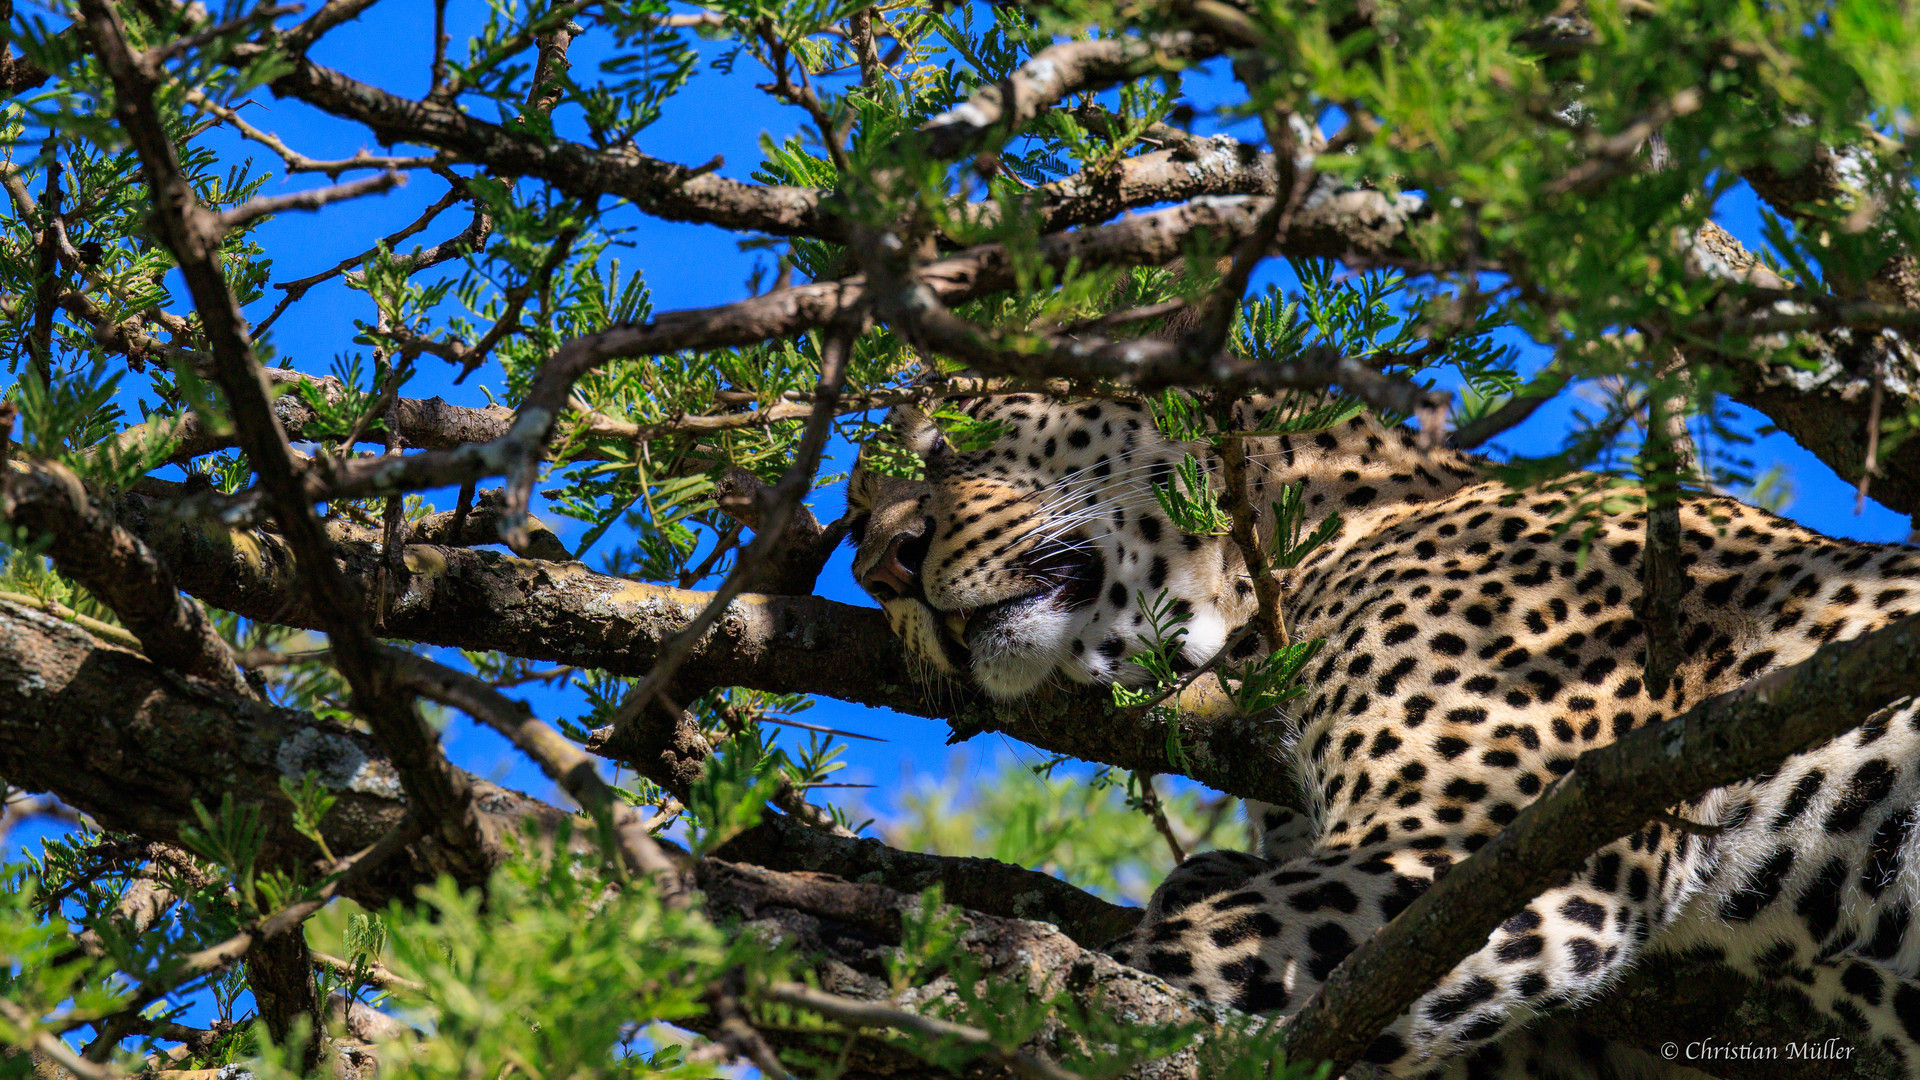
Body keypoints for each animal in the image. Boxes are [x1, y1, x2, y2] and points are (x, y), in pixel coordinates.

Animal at [844, 393, 1920, 1076]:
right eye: (852, 518)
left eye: (948, 446)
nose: (880, 568)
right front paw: (1203, 871)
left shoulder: (1479, 855)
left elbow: (1154, 972)